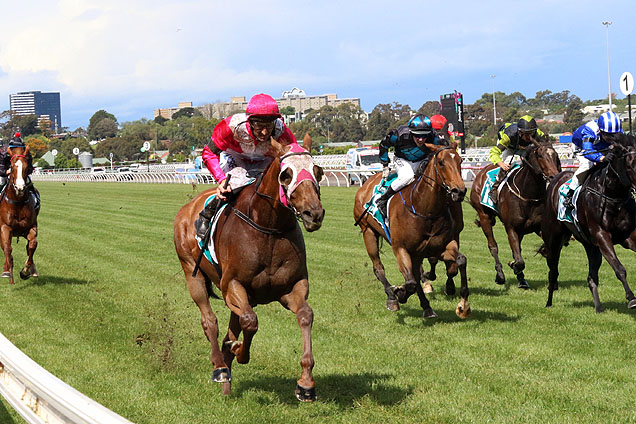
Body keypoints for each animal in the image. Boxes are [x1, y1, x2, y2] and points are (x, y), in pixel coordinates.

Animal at [0, 146, 38, 284]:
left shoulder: (31, 227)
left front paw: (26, 270)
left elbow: (32, 245)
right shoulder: (5, 227)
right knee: (6, 248)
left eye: (27, 167)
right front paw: (7, 271)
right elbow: (7, 248)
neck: (18, 202)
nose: (20, 188)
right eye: (11, 166)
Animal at [173, 135, 322, 400]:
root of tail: (187, 208)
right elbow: (250, 322)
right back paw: (220, 368)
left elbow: (305, 315)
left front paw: (306, 384)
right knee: (210, 321)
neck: (269, 227)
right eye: (286, 175)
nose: (313, 214)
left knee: (233, 325)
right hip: (192, 272)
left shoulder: (292, 287)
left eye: (318, 171)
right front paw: (239, 352)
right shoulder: (232, 284)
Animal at [350, 142, 470, 318]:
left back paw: (426, 305)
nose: (459, 191)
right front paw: (400, 293)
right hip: (368, 232)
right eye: (441, 162)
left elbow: (459, 261)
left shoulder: (440, 245)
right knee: (379, 268)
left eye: (460, 160)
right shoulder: (401, 248)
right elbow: (411, 282)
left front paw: (463, 305)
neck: (424, 209)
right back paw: (392, 297)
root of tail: (366, 184)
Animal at [468, 137, 560, 290]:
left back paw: (521, 279)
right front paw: (514, 266)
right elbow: (519, 260)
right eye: (540, 155)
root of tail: (481, 173)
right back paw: (500, 275)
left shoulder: (538, 228)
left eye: (556, 156)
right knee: (493, 246)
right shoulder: (511, 227)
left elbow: (543, 251)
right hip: (484, 215)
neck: (528, 194)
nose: (554, 176)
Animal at [540, 137, 636, 314]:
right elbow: (619, 269)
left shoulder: (629, 235)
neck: (612, 195)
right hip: (553, 241)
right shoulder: (602, 235)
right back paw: (549, 302)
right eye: (629, 165)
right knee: (553, 271)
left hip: (590, 246)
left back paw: (598, 307)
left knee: (591, 277)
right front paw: (631, 298)